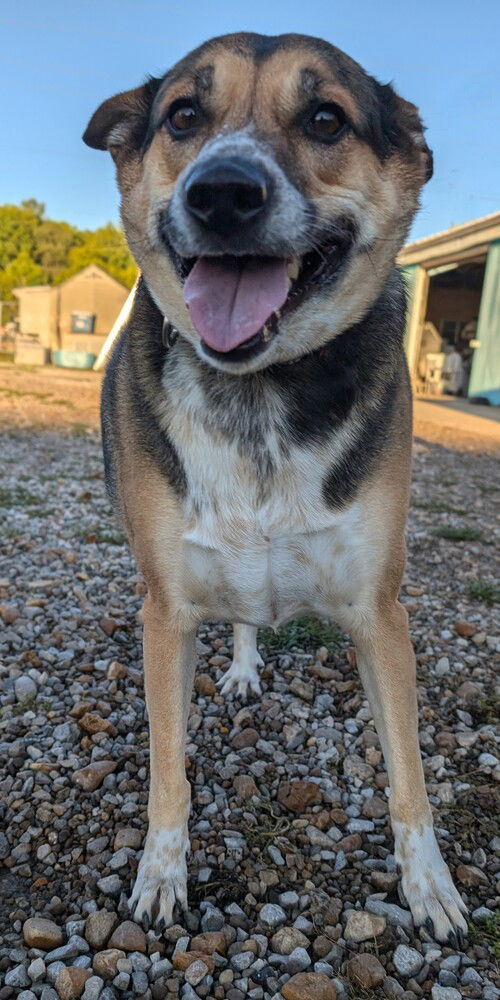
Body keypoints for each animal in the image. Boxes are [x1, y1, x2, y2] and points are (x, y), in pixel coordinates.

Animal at [83, 27, 468, 940]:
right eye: (183, 116)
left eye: (326, 118)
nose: (222, 193)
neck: (258, 388)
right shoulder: (166, 610)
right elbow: (168, 771)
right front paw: (161, 875)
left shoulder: (379, 610)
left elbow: (408, 773)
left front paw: (430, 887)